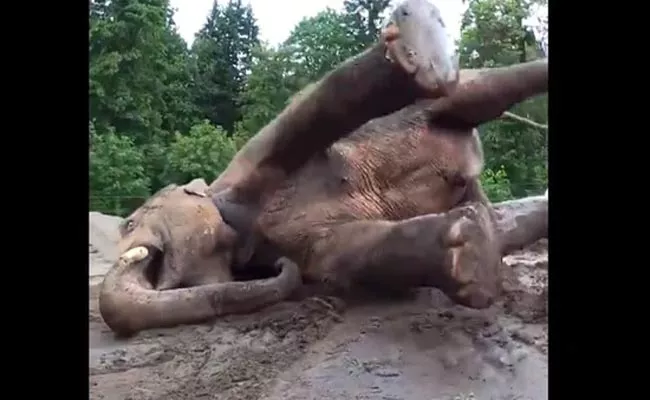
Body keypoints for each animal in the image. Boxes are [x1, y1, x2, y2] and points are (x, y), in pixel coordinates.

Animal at [98, 0, 548, 338]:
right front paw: (471, 254)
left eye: (131, 221)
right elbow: (349, 253)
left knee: (488, 89)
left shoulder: (253, 157)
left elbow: (305, 117)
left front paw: (417, 42)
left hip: (447, 99)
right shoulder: (310, 250)